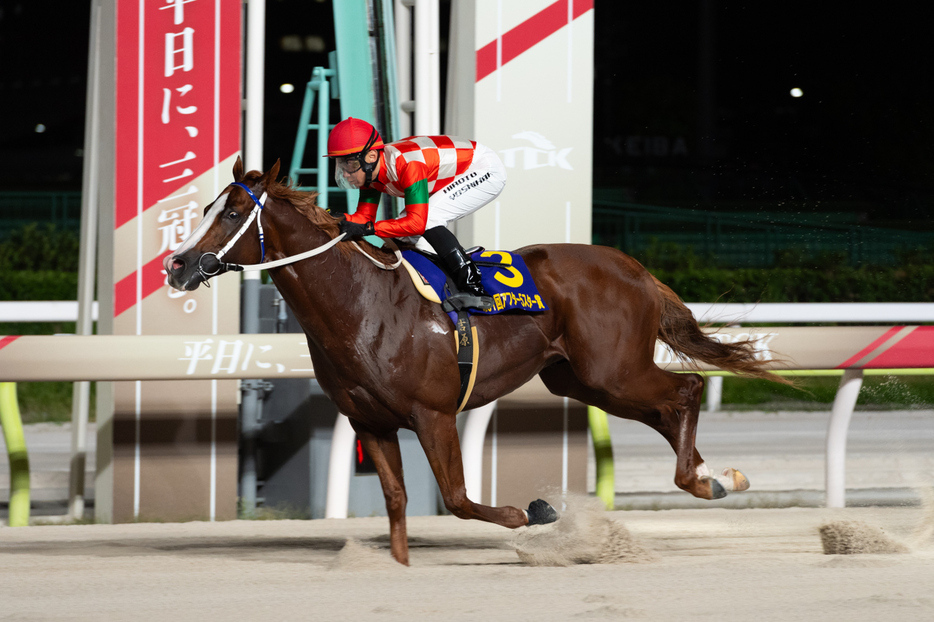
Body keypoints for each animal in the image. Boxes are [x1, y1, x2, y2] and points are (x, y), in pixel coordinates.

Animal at [166, 158, 784, 568]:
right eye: (208, 208)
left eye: (234, 212)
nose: (177, 266)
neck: (361, 303)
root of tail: (633, 267)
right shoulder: (369, 421)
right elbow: (396, 501)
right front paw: (398, 566)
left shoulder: (433, 415)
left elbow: (458, 499)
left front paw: (538, 512)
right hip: (581, 380)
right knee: (668, 408)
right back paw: (713, 475)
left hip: (614, 371)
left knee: (686, 391)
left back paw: (702, 480)